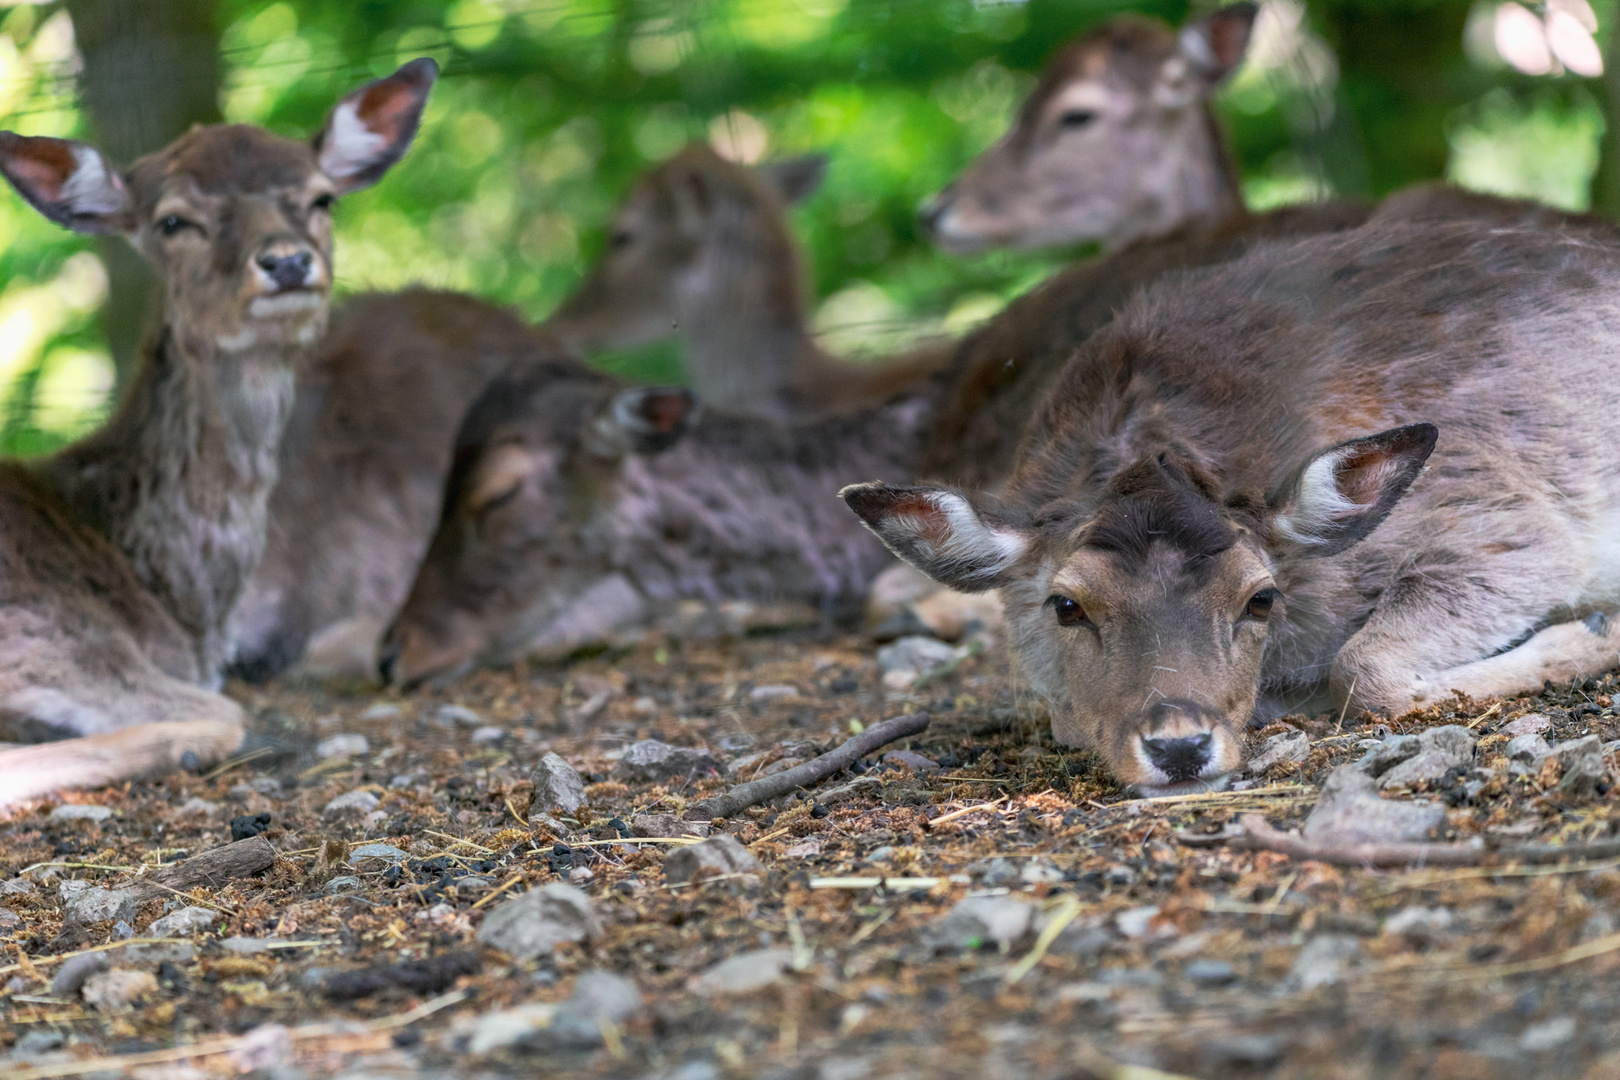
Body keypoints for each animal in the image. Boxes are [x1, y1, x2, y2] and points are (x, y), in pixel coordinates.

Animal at [842, 220, 1620, 793]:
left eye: (1260, 597)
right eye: (1066, 605)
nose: (1180, 747)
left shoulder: (1506, 521)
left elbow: (1364, 668)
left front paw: (1595, 633)